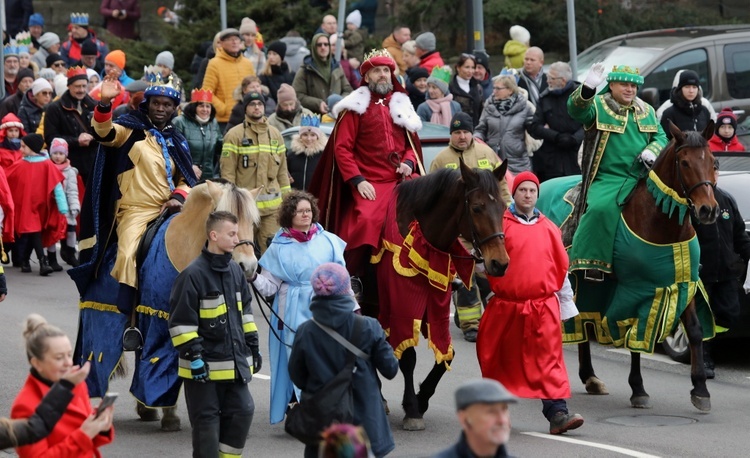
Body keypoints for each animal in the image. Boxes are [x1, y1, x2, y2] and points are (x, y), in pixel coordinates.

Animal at [73, 181, 260, 432]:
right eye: (228, 221)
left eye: (252, 222)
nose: (247, 267)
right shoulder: (161, 322)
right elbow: (163, 364)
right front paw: (168, 413)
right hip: (100, 317)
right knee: (99, 357)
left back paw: (144, 409)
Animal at [366, 160, 512, 430]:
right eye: (477, 208)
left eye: (503, 207)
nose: (500, 263)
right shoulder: (402, 306)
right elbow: (408, 356)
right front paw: (412, 408)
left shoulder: (438, 305)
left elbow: (448, 353)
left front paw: (422, 398)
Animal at [540, 121, 716, 412]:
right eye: (685, 162)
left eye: (713, 161)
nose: (708, 210)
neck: (663, 225)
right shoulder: (637, 288)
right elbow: (635, 332)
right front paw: (638, 389)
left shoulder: (684, 283)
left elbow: (694, 331)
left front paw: (701, 389)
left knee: (582, 321)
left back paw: (590, 377)